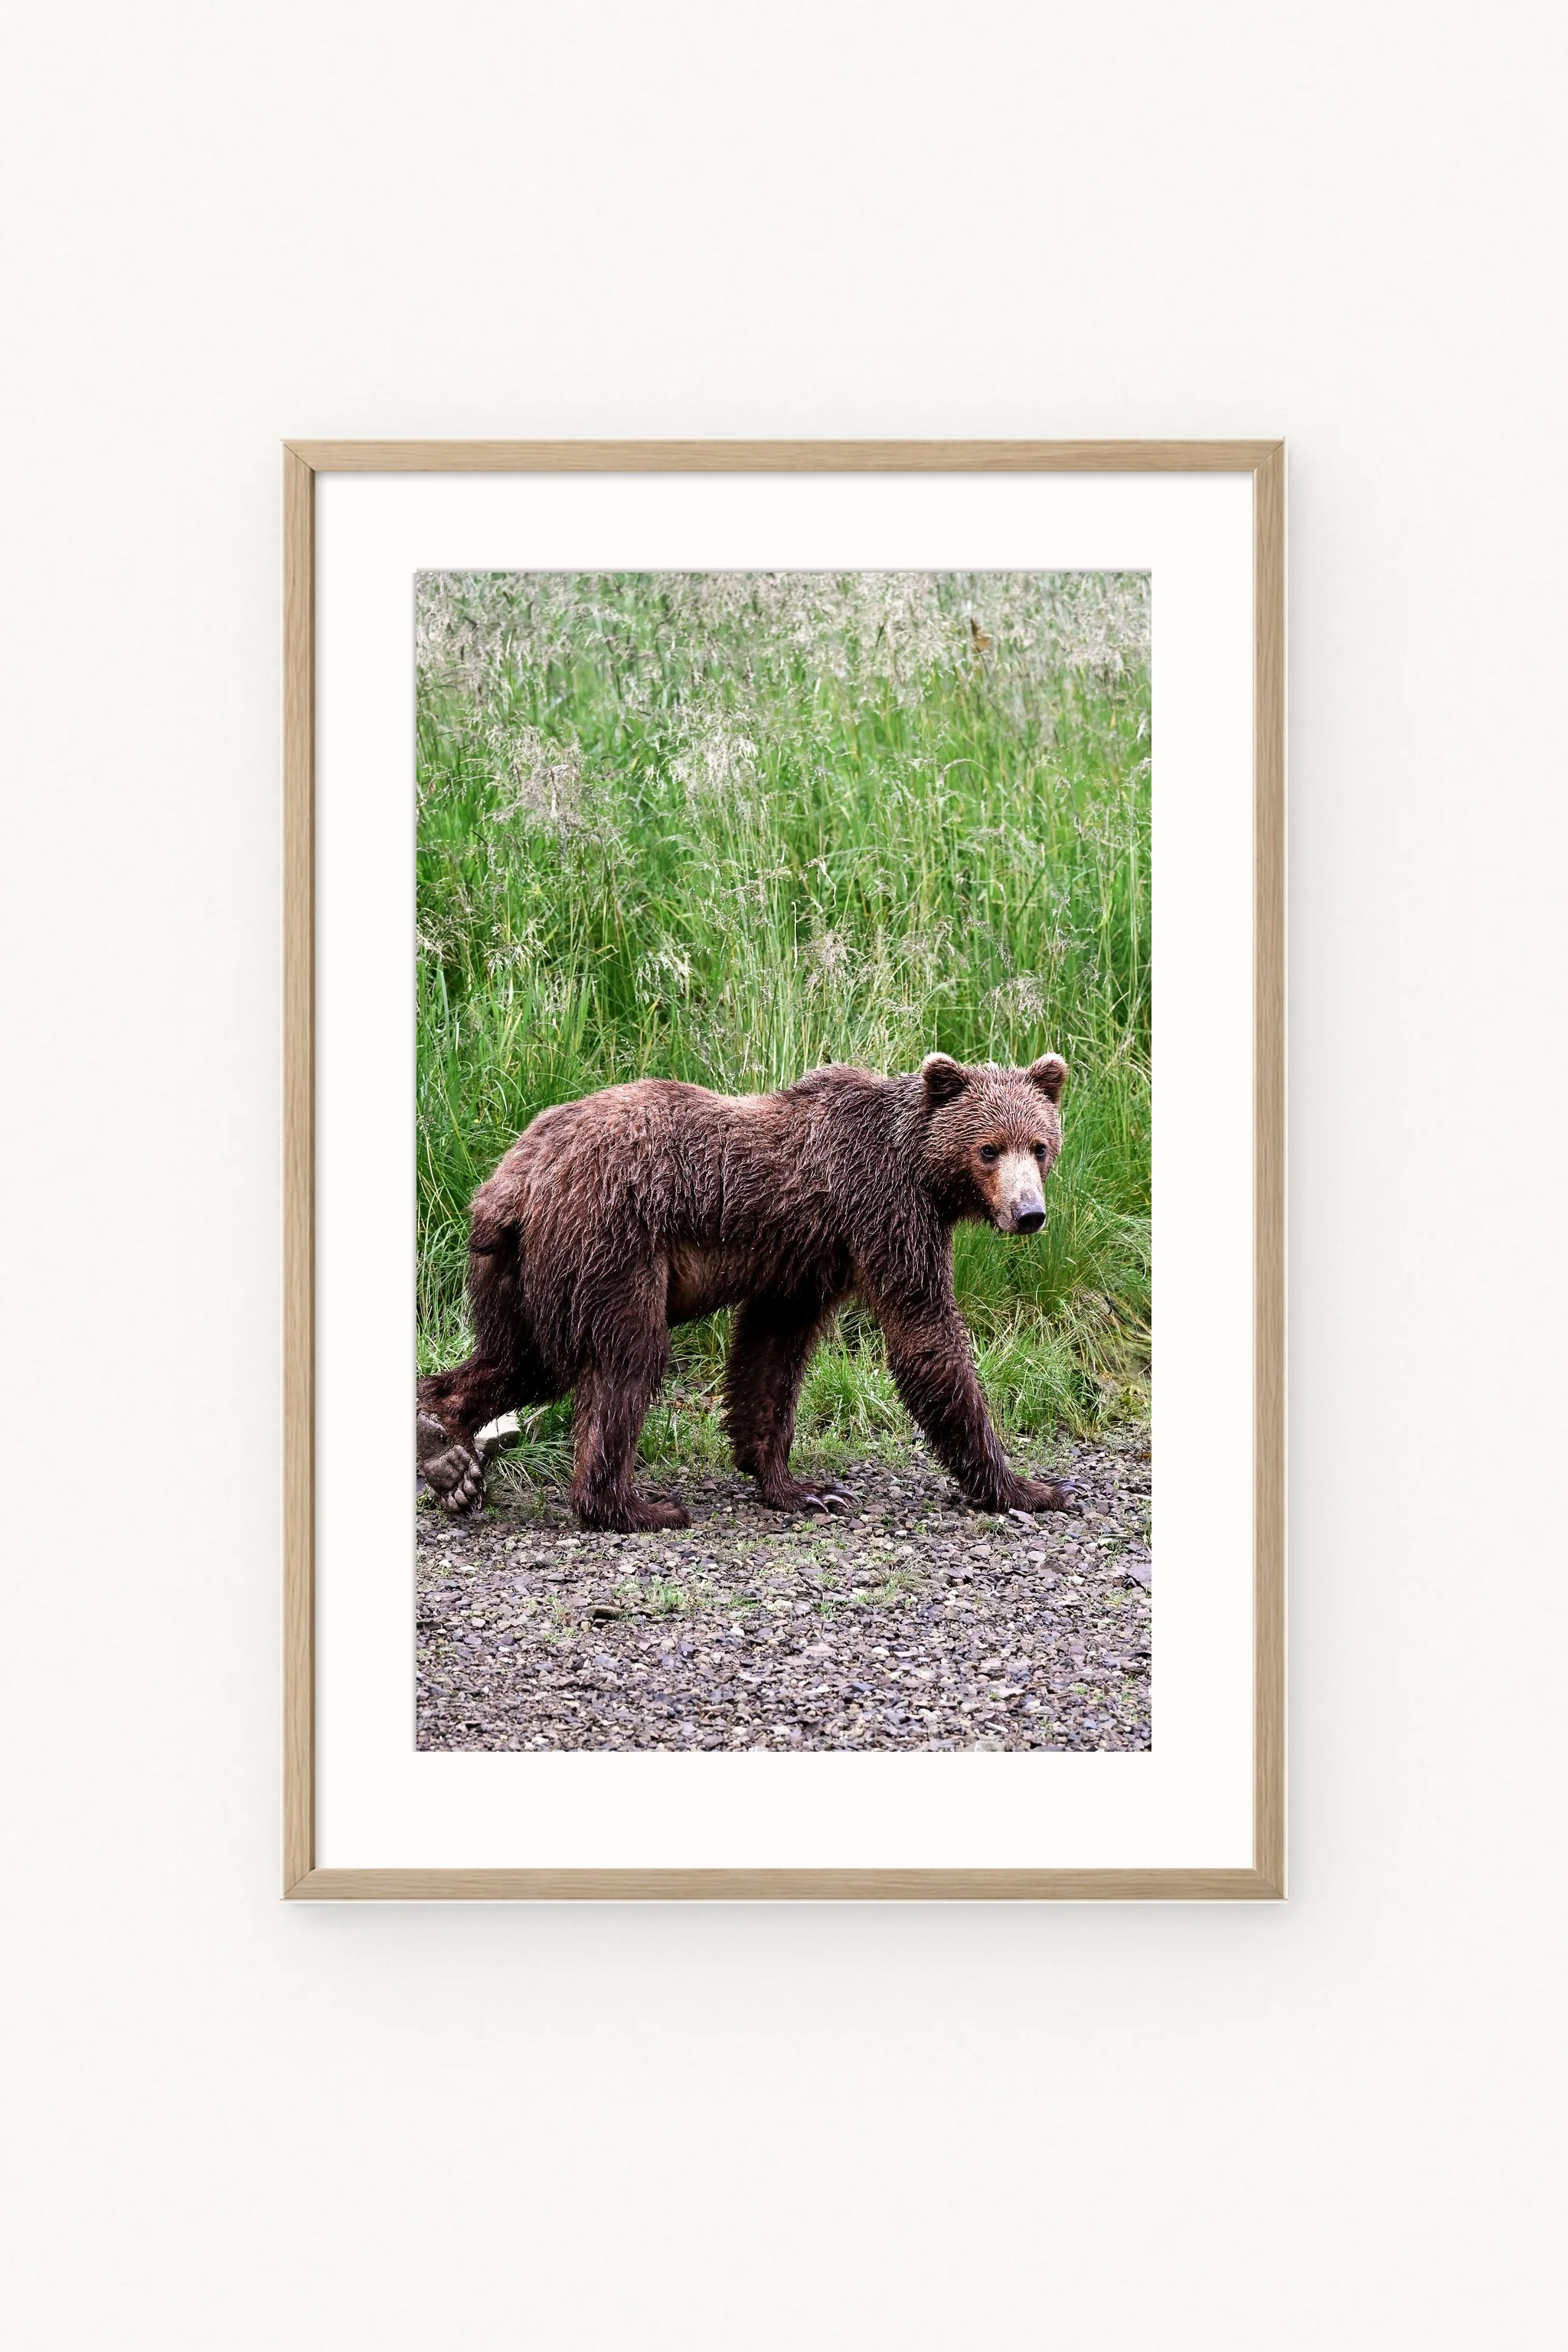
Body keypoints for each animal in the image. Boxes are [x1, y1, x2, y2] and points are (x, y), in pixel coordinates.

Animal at [416, 1050, 1075, 1534]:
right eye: (989, 1148)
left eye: (1040, 1146)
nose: (1030, 1213)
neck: (922, 1170)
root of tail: (512, 1181)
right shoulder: (886, 1213)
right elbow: (926, 1335)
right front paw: (1031, 1487)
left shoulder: (804, 1263)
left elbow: (770, 1357)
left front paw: (801, 1487)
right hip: (609, 1245)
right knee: (623, 1361)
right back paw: (635, 1506)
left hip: (522, 1272)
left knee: (521, 1360)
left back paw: (446, 1448)